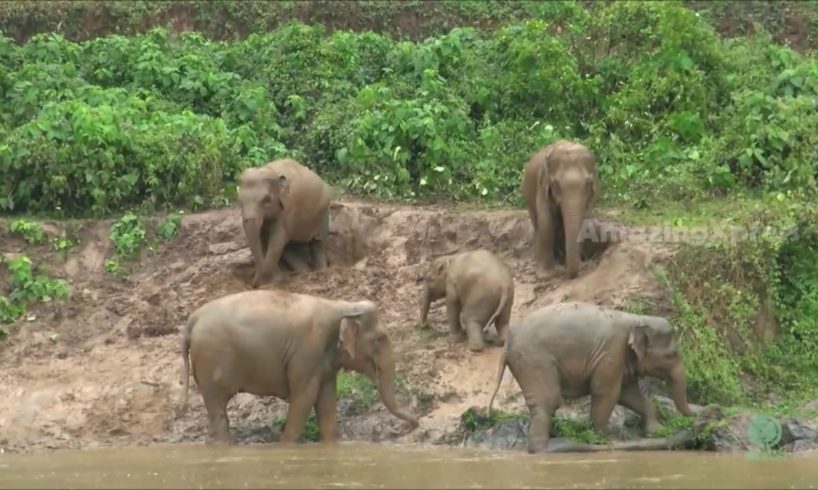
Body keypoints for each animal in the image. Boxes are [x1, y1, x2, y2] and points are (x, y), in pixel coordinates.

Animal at [180, 289, 419, 444]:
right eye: (379, 339)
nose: (410, 426)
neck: (340, 305)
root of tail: (192, 319)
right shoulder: (307, 350)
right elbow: (303, 399)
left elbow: (326, 402)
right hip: (210, 360)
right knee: (219, 411)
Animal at [237, 158, 333, 288]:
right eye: (239, 200)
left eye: (266, 199)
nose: (254, 284)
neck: (269, 171)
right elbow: (265, 240)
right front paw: (275, 279)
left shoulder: (288, 209)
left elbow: (277, 240)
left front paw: (271, 281)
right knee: (288, 247)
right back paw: (304, 272)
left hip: (323, 212)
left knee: (318, 243)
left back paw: (321, 271)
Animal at [487, 301, 693, 454]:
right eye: (672, 355)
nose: (695, 421)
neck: (636, 319)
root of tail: (507, 344)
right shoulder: (611, 352)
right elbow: (606, 393)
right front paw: (600, 439)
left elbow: (628, 395)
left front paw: (656, 431)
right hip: (533, 360)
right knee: (548, 401)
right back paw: (549, 448)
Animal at [521, 140, 600, 279]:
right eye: (556, 184)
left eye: (587, 183)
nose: (567, 272)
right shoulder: (543, 187)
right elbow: (546, 223)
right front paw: (546, 275)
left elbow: (584, 220)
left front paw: (575, 265)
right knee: (538, 224)